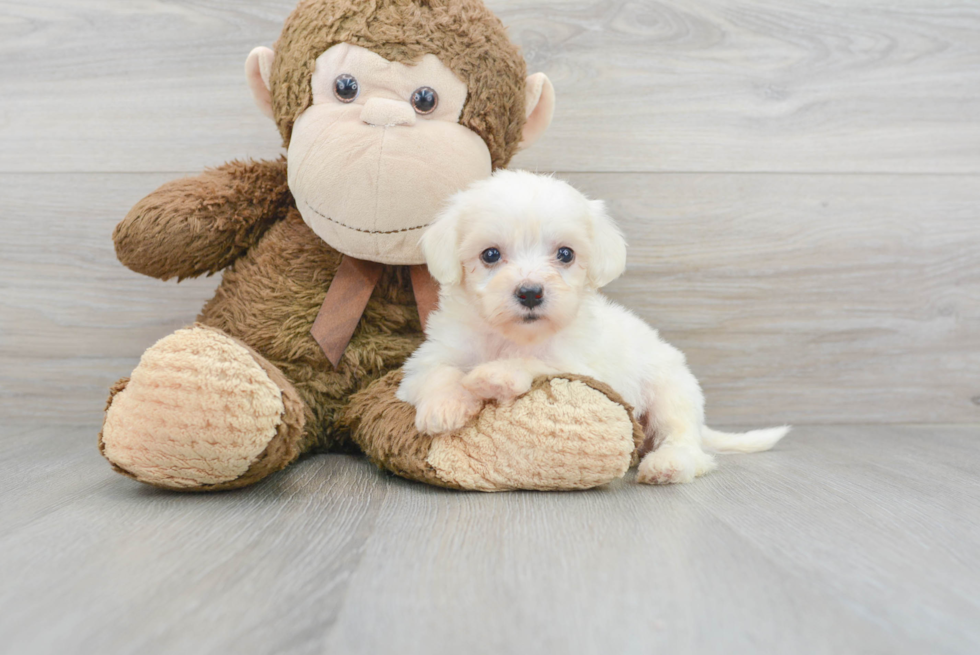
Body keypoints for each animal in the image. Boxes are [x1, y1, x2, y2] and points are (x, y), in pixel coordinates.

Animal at [398, 172, 788, 484]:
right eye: (490, 255)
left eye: (565, 254)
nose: (530, 292)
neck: (512, 336)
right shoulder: (428, 357)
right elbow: (438, 372)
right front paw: (443, 407)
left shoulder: (580, 367)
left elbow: (535, 362)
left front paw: (496, 375)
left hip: (670, 392)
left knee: (688, 445)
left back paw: (667, 464)